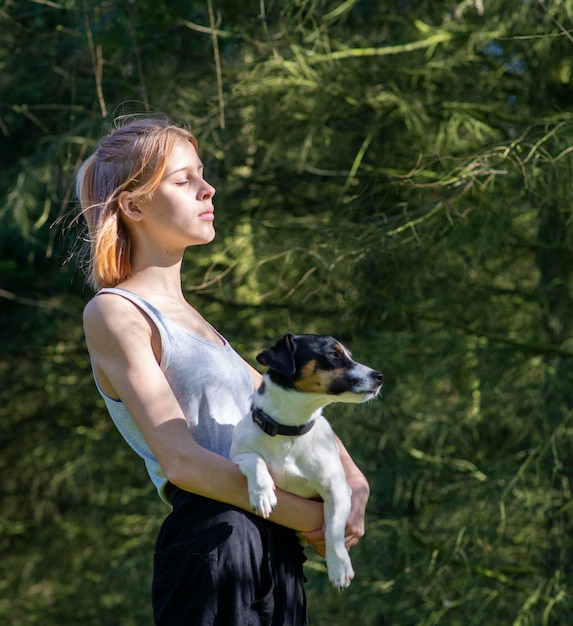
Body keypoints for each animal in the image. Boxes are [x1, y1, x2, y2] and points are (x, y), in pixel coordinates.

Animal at [230, 334, 382, 588]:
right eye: (333, 354)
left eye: (348, 354)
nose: (379, 377)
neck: (289, 432)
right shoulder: (238, 456)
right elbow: (255, 460)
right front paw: (263, 493)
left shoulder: (338, 490)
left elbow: (334, 528)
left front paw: (339, 566)